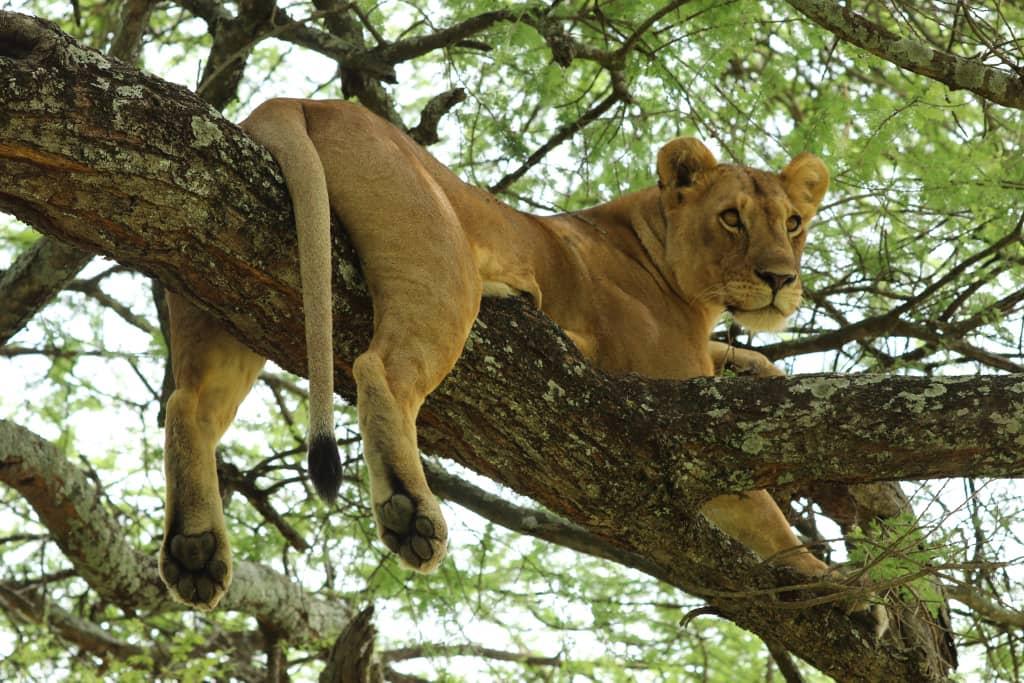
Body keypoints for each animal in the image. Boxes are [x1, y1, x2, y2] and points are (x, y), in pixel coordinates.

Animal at [159, 98, 833, 610]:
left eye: (793, 222)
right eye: (731, 219)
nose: (781, 279)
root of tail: (298, 100)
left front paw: (761, 365)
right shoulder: (666, 418)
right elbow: (764, 515)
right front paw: (840, 590)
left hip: (218, 276)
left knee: (187, 406)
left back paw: (194, 551)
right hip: (441, 259)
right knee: (383, 370)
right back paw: (411, 514)